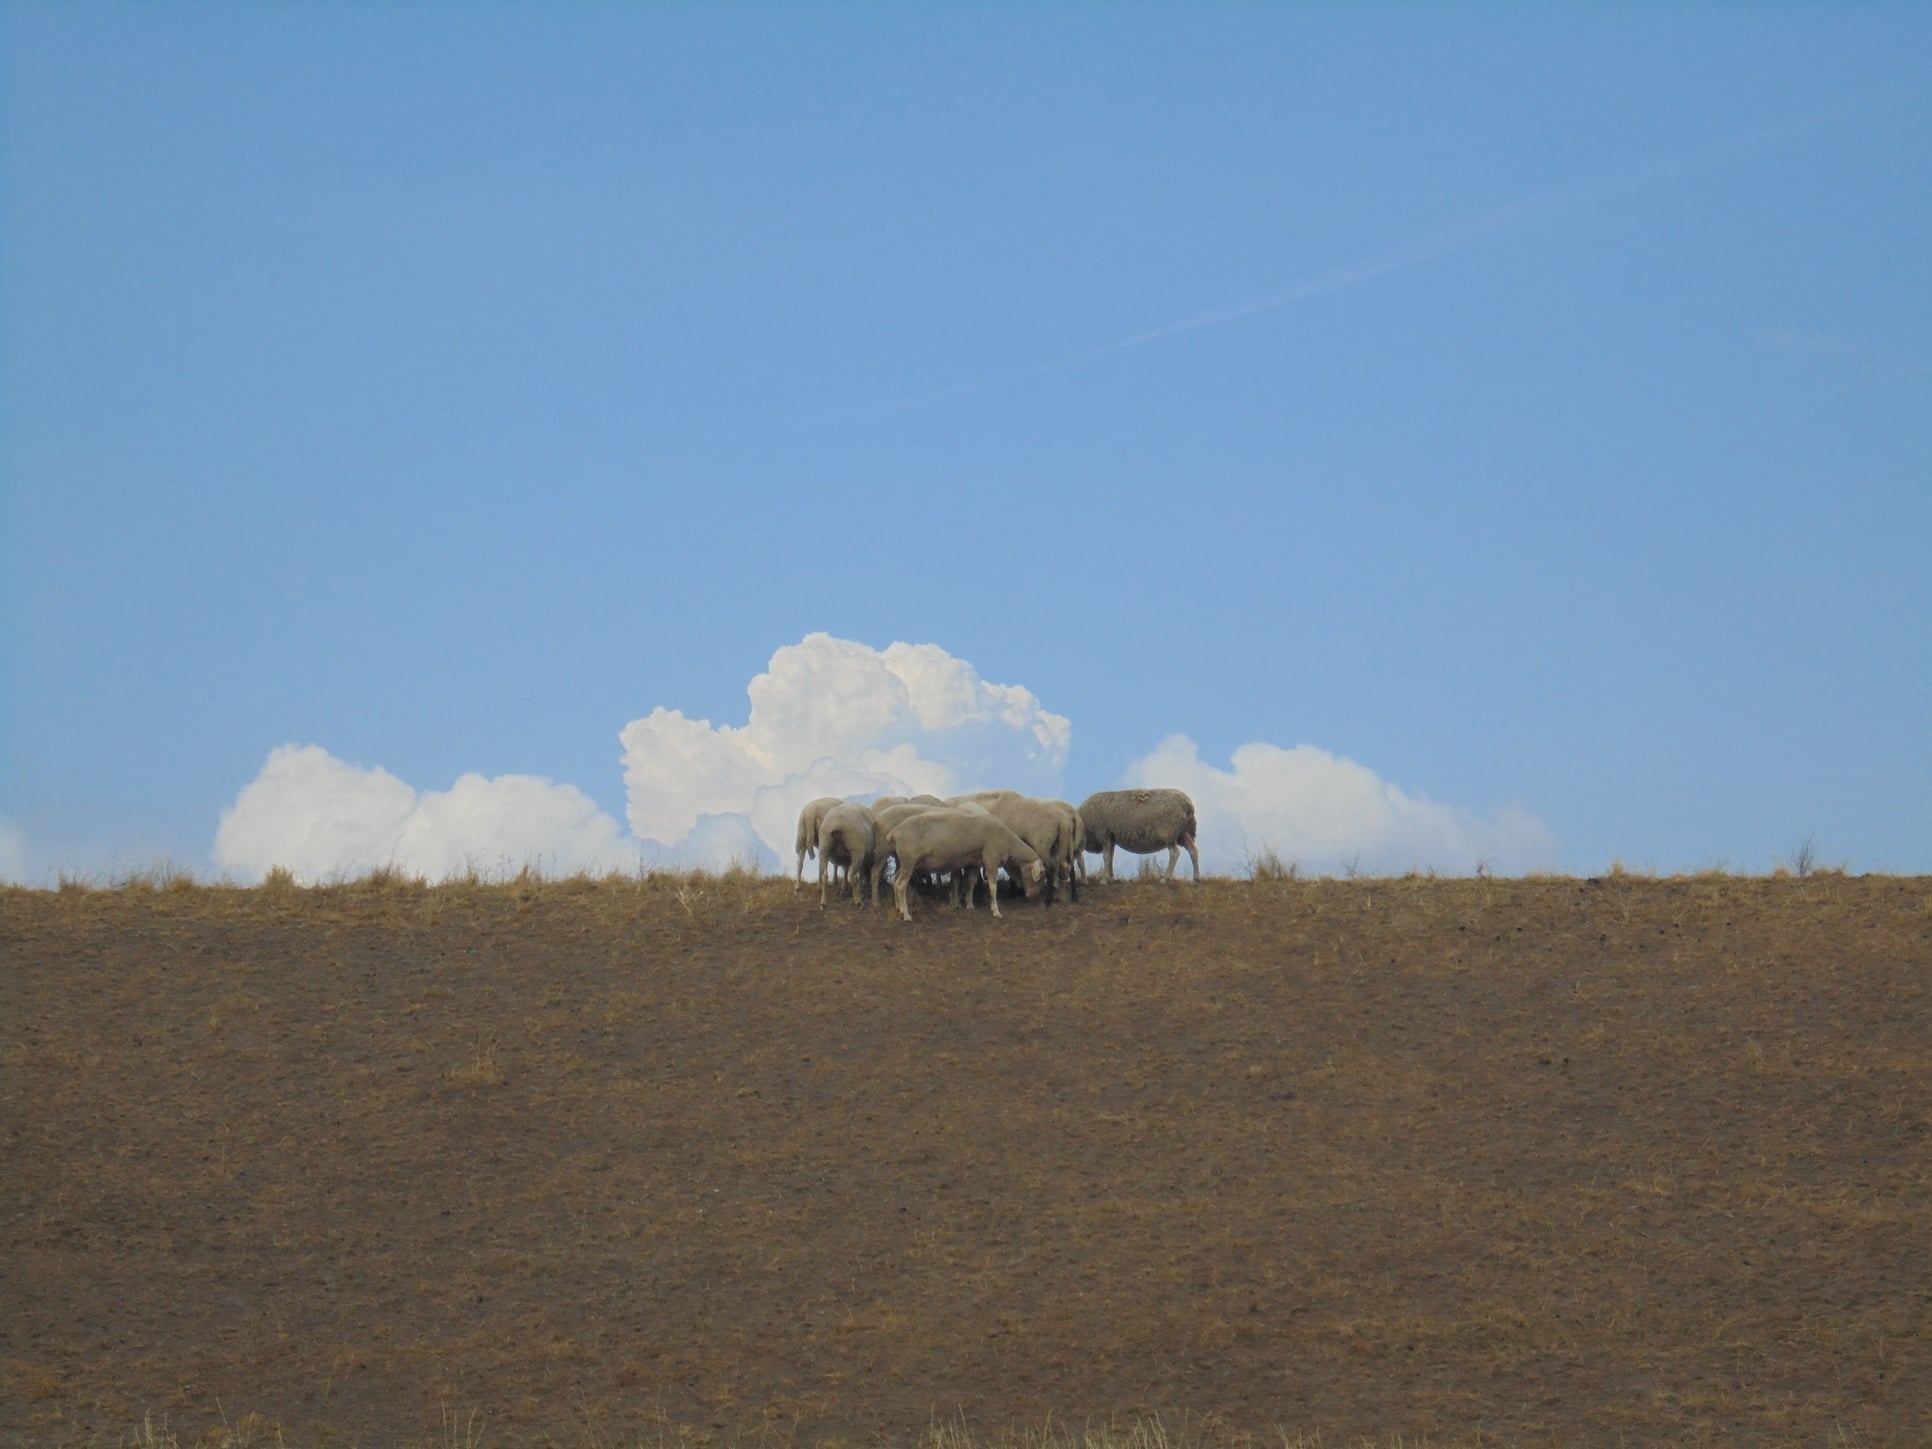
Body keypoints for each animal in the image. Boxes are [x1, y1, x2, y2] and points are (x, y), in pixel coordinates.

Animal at [884, 811, 1043, 923]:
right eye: (1041, 876)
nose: (1035, 896)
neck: (1008, 841)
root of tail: (895, 832)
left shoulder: (973, 862)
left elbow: (971, 882)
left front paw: (970, 904)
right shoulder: (991, 859)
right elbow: (993, 886)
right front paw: (996, 911)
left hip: (905, 862)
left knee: (895, 880)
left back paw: (898, 908)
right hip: (909, 860)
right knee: (901, 884)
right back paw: (906, 914)